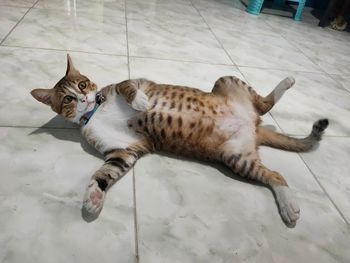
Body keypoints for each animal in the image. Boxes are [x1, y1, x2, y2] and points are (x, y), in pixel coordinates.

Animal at [30, 54, 328, 228]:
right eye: (68, 99)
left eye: (82, 85)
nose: (85, 98)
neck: (96, 112)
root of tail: (252, 125)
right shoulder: (122, 152)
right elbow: (103, 174)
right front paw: (93, 196)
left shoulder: (133, 81)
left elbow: (129, 87)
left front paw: (141, 102)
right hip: (237, 158)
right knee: (275, 175)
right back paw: (289, 205)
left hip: (227, 80)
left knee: (265, 104)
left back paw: (286, 82)